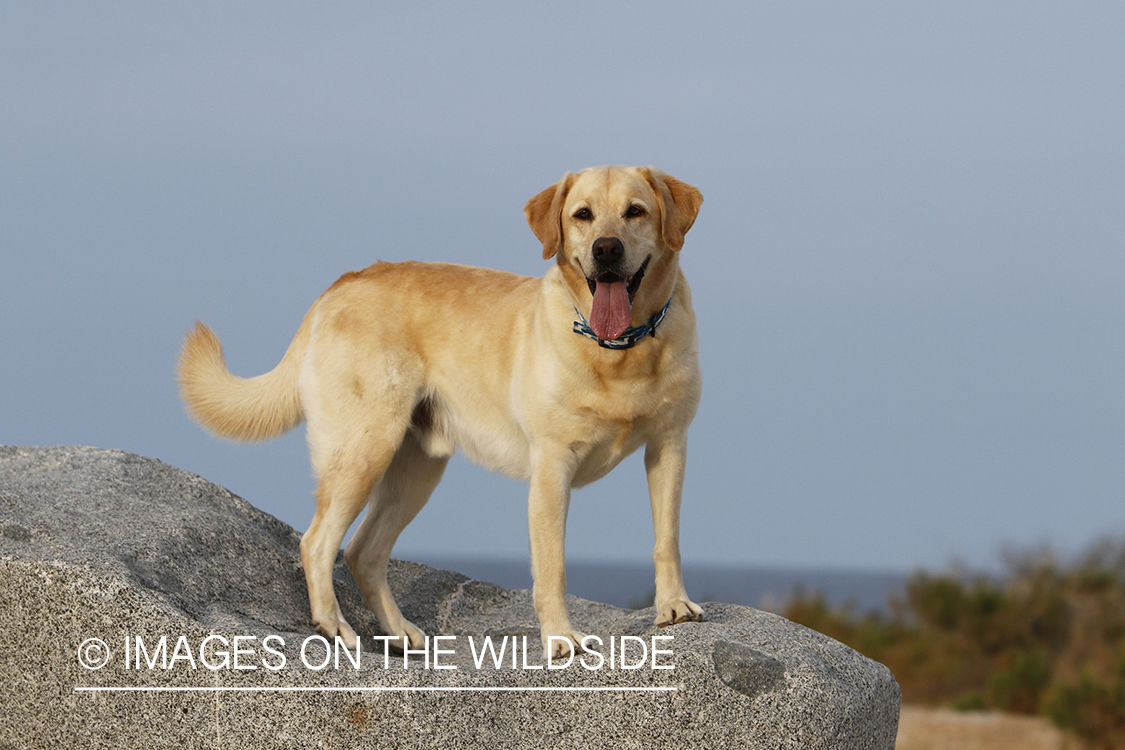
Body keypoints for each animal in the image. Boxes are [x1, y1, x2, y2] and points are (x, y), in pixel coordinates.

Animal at [175, 164, 702, 656]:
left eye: (635, 211)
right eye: (583, 215)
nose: (606, 250)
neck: (620, 352)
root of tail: (340, 284)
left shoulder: (669, 447)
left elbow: (668, 539)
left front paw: (673, 606)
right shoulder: (553, 466)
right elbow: (552, 565)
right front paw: (559, 638)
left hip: (416, 470)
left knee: (364, 552)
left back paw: (399, 632)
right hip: (364, 451)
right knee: (317, 541)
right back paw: (333, 625)